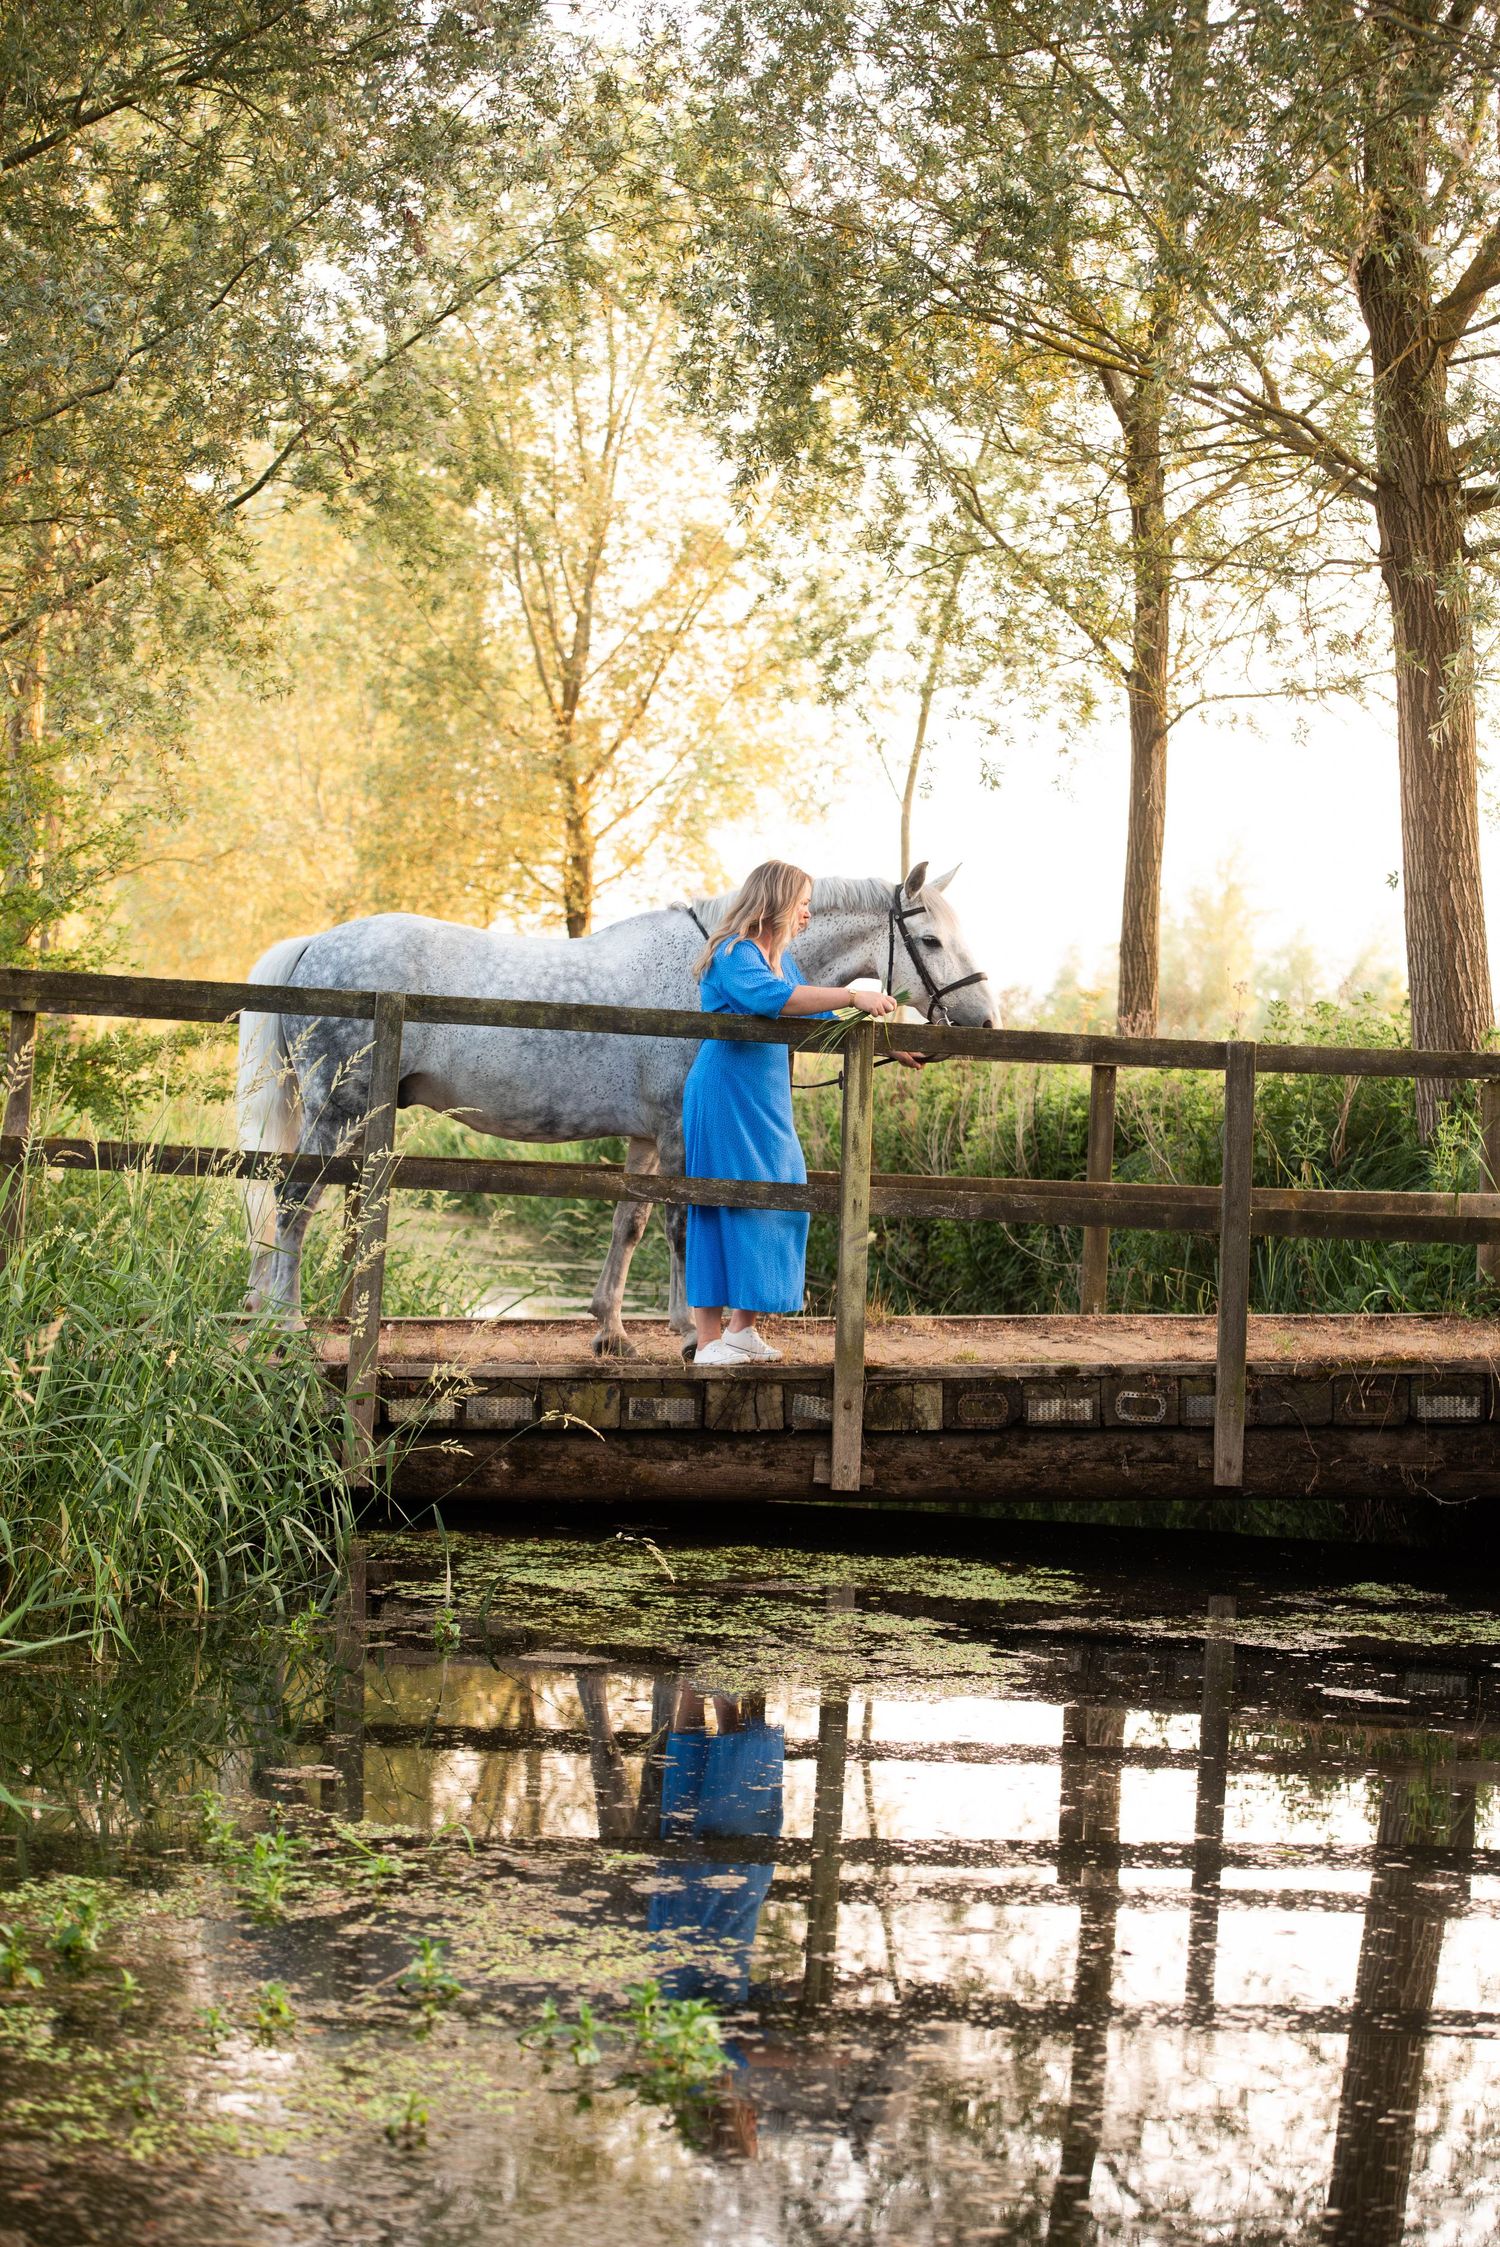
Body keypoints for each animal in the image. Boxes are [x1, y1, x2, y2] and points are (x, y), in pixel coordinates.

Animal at [236, 863, 996, 1354]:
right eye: (930, 939)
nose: (985, 1020)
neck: (703, 964)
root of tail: (314, 945)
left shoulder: (645, 1138)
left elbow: (629, 1224)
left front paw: (612, 1329)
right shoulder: (677, 1132)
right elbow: (681, 1224)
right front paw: (689, 1333)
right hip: (334, 1109)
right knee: (295, 1200)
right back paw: (285, 1321)